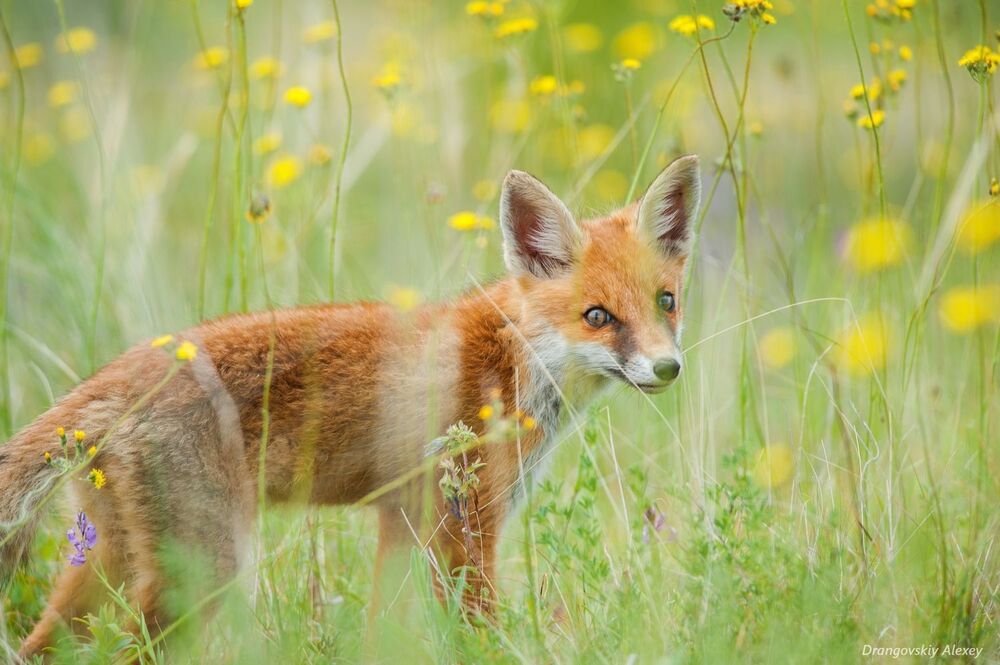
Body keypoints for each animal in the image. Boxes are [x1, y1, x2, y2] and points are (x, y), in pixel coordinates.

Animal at [0, 154, 701, 658]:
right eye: (598, 316)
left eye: (666, 302)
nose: (667, 368)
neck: (514, 357)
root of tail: (111, 378)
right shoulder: (465, 529)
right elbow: (478, 634)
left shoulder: (406, 521)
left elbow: (381, 629)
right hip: (201, 573)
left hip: (108, 563)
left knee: (43, 647)